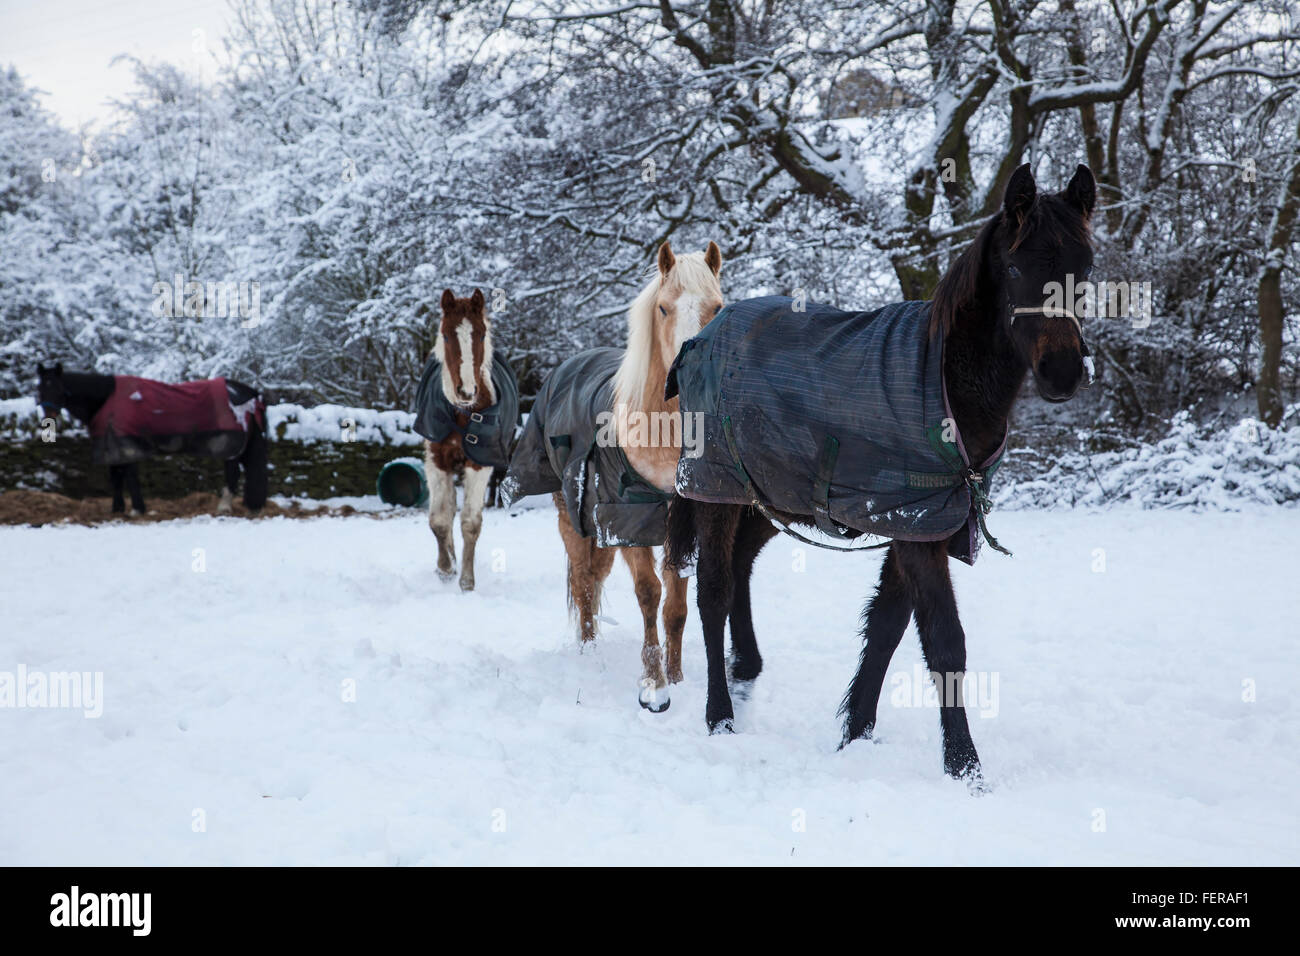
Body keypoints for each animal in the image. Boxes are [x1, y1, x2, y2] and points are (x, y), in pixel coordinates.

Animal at [36, 364, 269, 515]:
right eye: (40, 387)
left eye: (57, 387)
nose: (49, 418)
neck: (107, 399)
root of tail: (246, 392)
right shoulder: (113, 446)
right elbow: (116, 477)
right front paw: (117, 509)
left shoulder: (127, 445)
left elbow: (129, 477)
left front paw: (137, 509)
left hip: (231, 445)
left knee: (233, 472)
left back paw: (224, 507)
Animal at [504, 243, 728, 712]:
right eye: (663, 308)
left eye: (717, 307)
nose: (689, 374)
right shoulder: (629, 521)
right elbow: (648, 595)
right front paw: (654, 687)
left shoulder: (681, 527)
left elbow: (676, 608)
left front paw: (677, 678)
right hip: (573, 519)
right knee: (584, 583)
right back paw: (588, 652)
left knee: (596, 576)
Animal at [665, 166, 1102, 790]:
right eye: (1018, 268)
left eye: (1085, 267)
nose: (1063, 372)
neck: (944, 382)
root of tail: (703, 335)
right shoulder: (917, 528)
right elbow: (944, 642)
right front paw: (965, 768)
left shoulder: (918, 522)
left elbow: (887, 628)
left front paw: (856, 734)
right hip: (715, 490)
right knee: (713, 590)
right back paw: (720, 715)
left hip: (770, 495)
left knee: (742, 566)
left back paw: (747, 668)